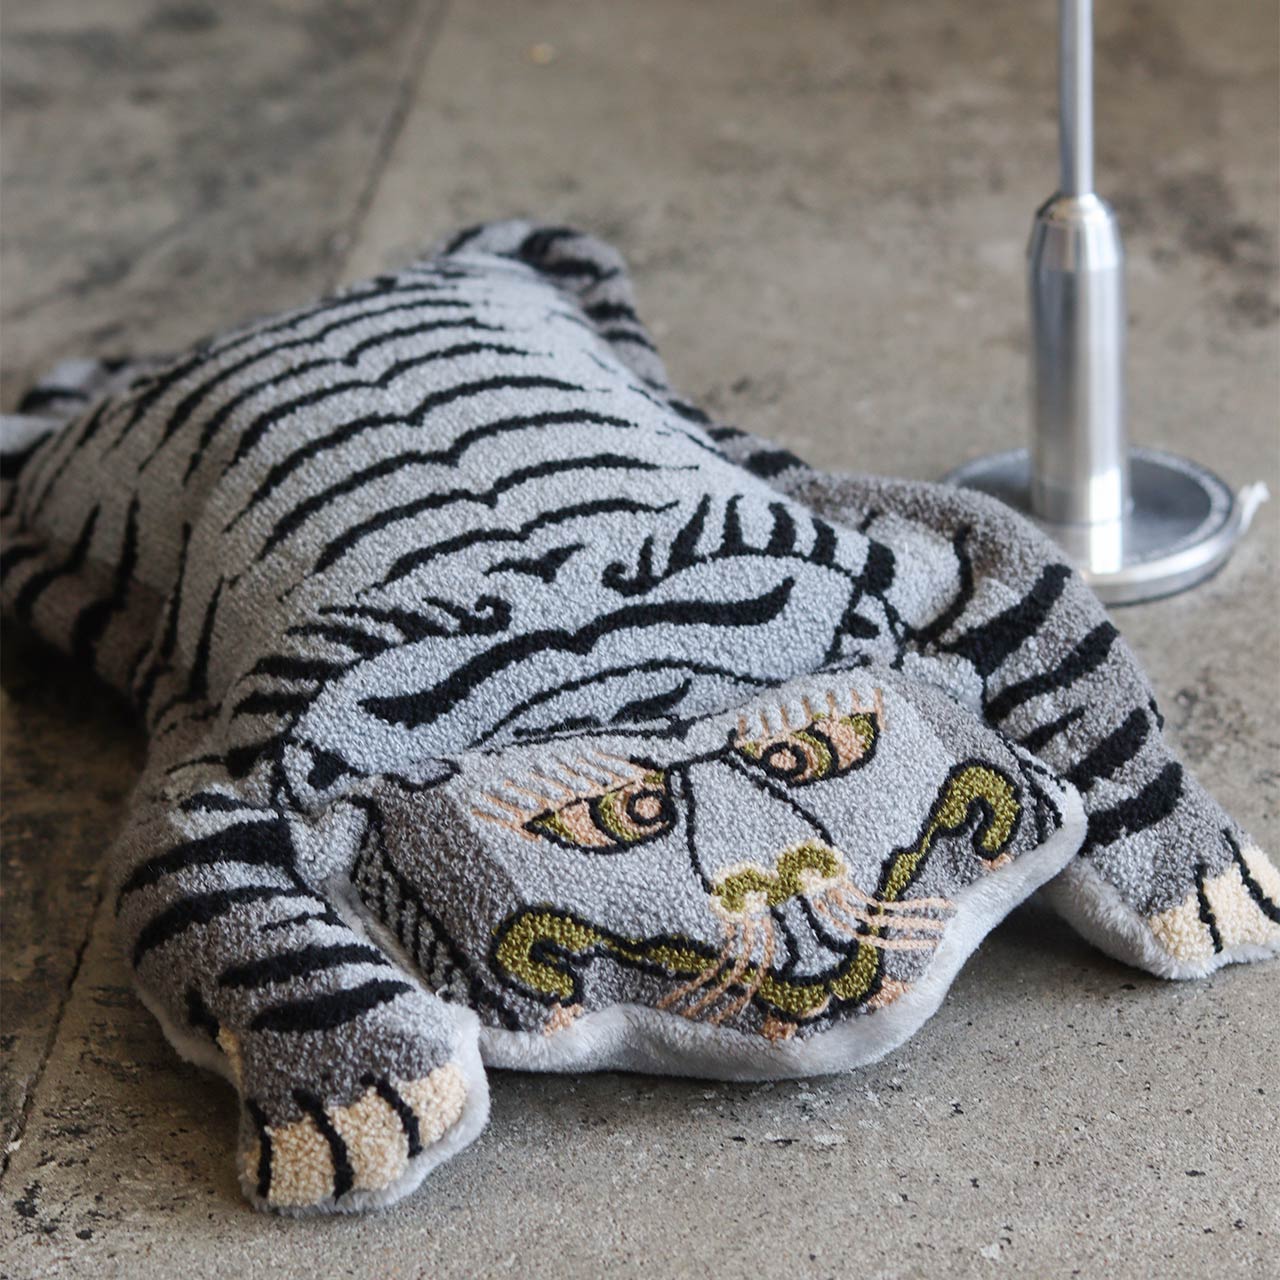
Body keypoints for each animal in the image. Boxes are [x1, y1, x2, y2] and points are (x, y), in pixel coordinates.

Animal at [2, 220, 1275, 1213]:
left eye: (808, 753)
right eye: (617, 816)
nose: (779, 878)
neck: (621, 673)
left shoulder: (910, 548)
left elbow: (1089, 682)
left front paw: (1207, 891)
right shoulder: (232, 765)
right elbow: (232, 925)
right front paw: (364, 1104)